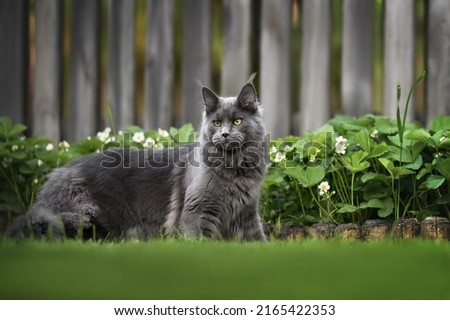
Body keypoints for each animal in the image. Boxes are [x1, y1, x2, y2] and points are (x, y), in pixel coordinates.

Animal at [7, 80, 268, 240]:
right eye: (216, 122)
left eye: (237, 121)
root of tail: (55, 175)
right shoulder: (198, 212)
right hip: (84, 213)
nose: (223, 134)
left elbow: (258, 241)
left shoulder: (247, 215)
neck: (235, 169)